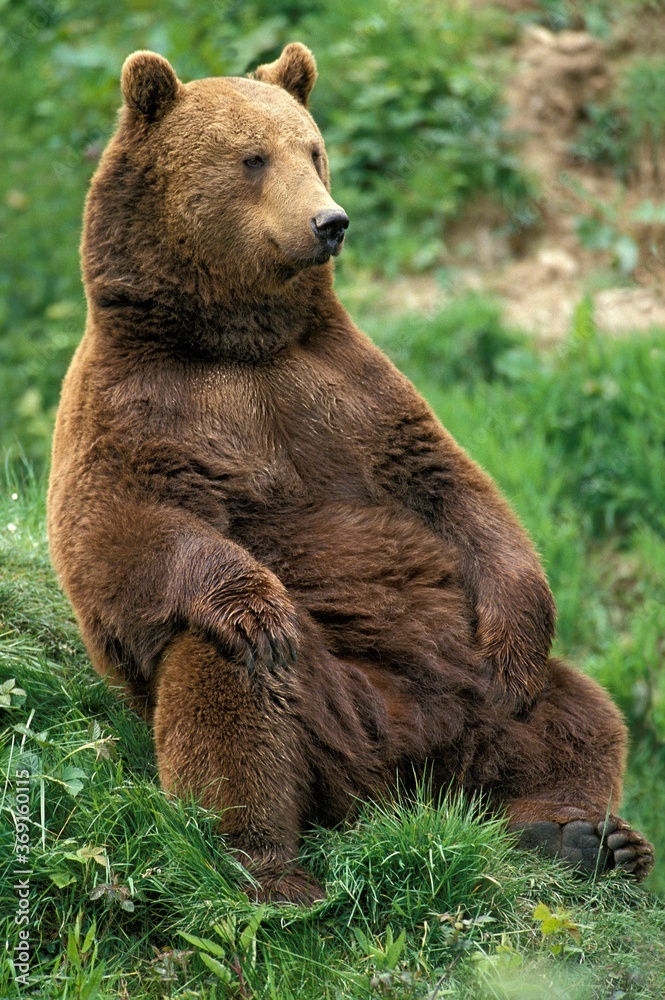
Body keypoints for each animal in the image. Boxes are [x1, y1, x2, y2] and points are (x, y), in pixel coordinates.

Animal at [47, 43, 654, 904]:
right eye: (252, 158)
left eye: (313, 150)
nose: (328, 222)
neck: (238, 341)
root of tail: (408, 780)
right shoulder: (137, 405)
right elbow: (118, 526)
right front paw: (256, 604)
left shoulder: (347, 392)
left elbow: (453, 492)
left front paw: (516, 630)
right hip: (328, 712)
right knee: (233, 692)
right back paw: (265, 865)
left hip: (473, 694)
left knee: (577, 715)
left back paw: (582, 837)